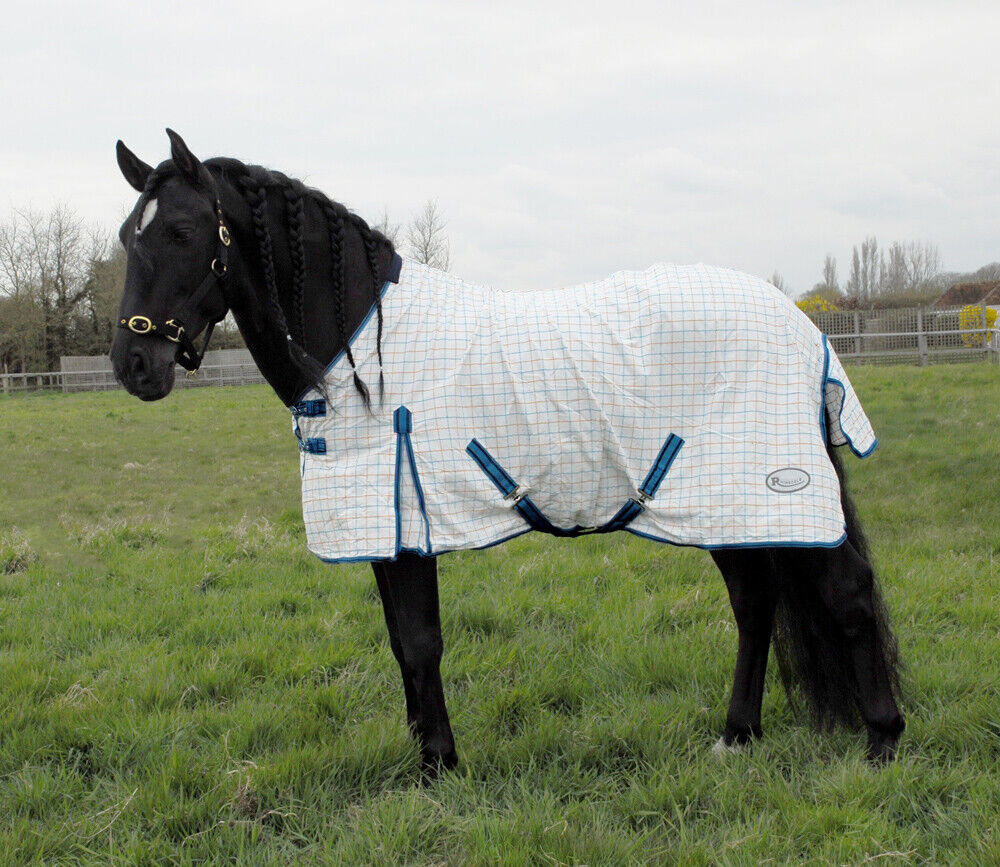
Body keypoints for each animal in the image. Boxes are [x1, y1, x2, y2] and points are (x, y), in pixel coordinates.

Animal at [110, 130, 904, 775]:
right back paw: (737, 736)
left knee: (848, 593)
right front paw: (422, 751)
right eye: (126, 236)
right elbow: (398, 642)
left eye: (181, 230)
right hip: (722, 503)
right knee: (754, 604)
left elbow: (420, 642)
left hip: (776, 491)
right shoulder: (384, 528)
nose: (133, 365)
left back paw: (882, 742)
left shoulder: (410, 525)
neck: (363, 354)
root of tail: (804, 329)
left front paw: (439, 765)